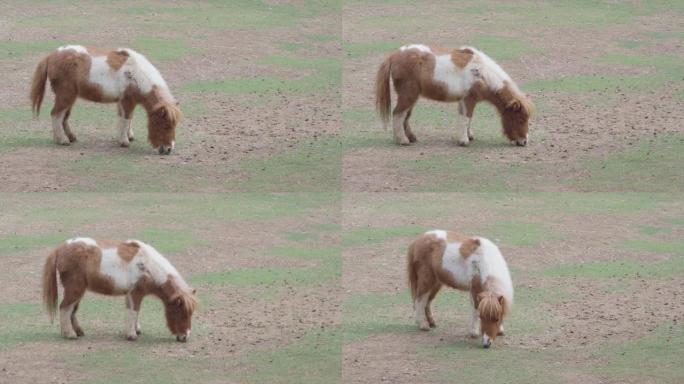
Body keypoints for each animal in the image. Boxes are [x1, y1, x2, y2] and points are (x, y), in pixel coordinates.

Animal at [29, 44, 182, 153]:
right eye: (166, 125)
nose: (168, 149)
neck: (136, 74)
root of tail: (51, 56)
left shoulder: (122, 102)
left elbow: (125, 119)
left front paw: (128, 136)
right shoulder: (128, 101)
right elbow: (126, 119)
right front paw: (124, 141)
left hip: (70, 98)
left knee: (64, 117)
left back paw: (71, 137)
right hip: (65, 96)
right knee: (56, 115)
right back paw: (62, 140)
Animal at [42, 237, 196, 342]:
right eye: (181, 313)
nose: (185, 337)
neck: (148, 266)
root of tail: (60, 249)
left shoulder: (131, 295)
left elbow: (134, 312)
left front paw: (135, 330)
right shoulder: (135, 294)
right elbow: (133, 311)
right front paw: (131, 335)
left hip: (78, 291)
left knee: (72, 311)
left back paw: (78, 332)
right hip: (75, 290)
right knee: (65, 308)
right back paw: (70, 334)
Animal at [374, 44, 536, 147]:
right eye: (520, 119)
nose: (524, 142)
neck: (481, 73)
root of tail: (393, 56)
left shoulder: (465, 101)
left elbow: (468, 118)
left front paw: (469, 136)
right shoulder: (468, 100)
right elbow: (466, 118)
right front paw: (463, 141)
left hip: (412, 97)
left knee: (405, 116)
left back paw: (411, 138)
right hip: (408, 95)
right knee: (398, 114)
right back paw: (402, 140)